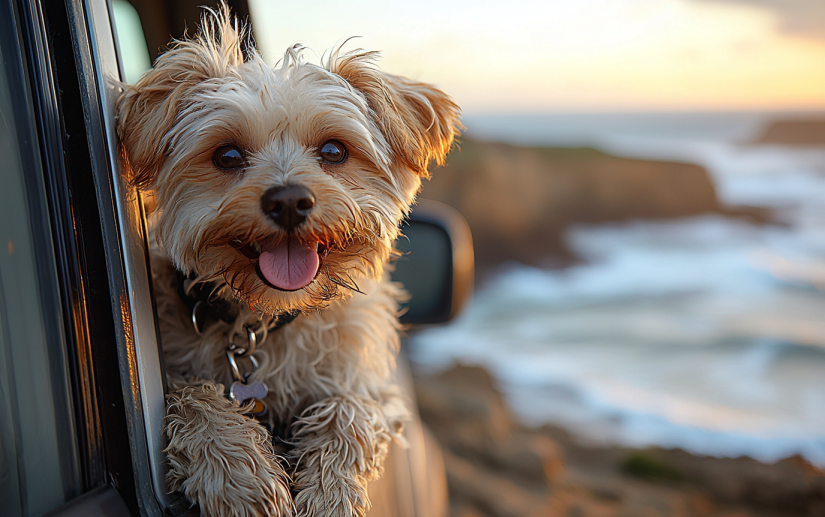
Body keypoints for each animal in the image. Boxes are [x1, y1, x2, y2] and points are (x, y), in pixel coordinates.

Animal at [115, 7, 460, 516]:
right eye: (227, 154)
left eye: (334, 150)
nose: (289, 201)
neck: (265, 320)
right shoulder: (184, 374)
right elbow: (192, 394)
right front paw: (238, 475)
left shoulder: (370, 383)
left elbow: (349, 409)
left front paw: (331, 495)